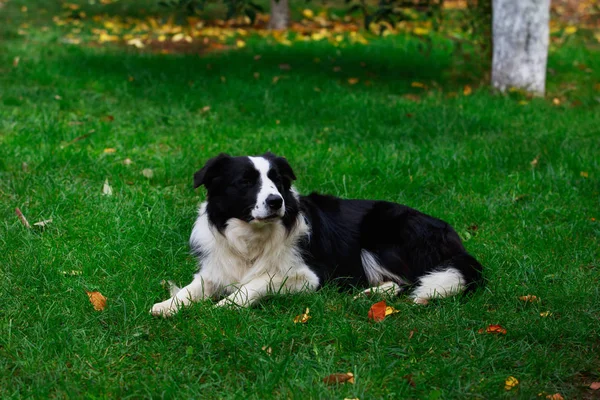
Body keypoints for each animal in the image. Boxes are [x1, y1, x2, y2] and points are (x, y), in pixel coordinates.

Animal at [150, 152, 482, 318]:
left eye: (277, 181)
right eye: (245, 182)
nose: (276, 202)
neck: (251, 239)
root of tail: (453, 237)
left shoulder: (308, 276)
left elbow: (258, 282)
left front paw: (229, 304)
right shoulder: (217, 268)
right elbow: (193, 288)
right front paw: (168, 305)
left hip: (384, 235)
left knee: (411, 281)